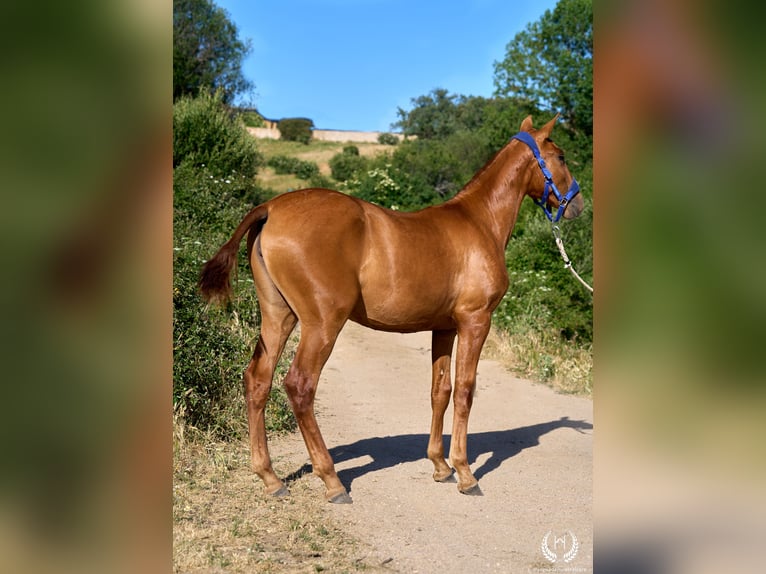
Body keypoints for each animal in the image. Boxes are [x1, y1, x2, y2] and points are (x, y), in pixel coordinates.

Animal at [199, 115, 584, 503]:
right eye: (562, 156)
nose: (578, 204)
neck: (479, 222)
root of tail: (271, 209)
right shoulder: (476, 321)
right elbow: (465, 390)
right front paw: (464, 472)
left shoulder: (444, 327)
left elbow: (440, 391)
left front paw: (440, 466)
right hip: (323, 323)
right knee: (299, 385)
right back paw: (332, 480)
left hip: (278, 316)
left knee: (257, 380)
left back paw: (271, 478)